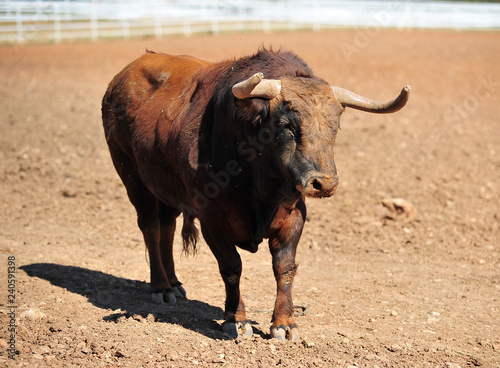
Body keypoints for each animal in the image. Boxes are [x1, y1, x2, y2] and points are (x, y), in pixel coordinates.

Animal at [101, 49, 410, 342]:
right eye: (287, 124)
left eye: (335, 124)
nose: (324, 184)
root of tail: (123, 77)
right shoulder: (212, 219)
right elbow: (231, 267)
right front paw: (236, 320)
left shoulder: (295, 215)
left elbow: (285, 267)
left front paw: (284, 323)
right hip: (132, 178)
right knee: (151, 228)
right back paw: (161, 287)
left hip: (166, 188)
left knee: (167, 226)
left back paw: (175, 284)